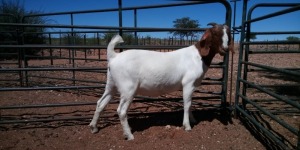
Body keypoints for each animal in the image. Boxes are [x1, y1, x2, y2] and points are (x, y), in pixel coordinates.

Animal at [89, 22, 234, 140]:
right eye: (215, 33)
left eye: (228, 33)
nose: (225, 49)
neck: (198, 56)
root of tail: (114, 56)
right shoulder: (188, 83)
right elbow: (187, 104)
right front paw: (187, 126)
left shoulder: (191, 86)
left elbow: (190, 103)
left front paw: (192, 119)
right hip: (128, 88)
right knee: (121, 110)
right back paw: (129, 135)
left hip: (111, 84)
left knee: (100, 103)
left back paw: (93, 127)